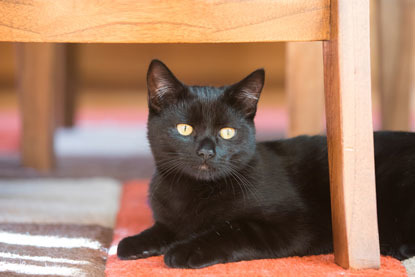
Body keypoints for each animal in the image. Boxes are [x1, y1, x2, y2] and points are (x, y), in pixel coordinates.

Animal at [117, 59, 415, 266]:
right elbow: (164, 227)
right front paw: (136, 242)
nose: (206, 152)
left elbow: (233, 230)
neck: (195, 191)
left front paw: (185, 250)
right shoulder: (169, 217)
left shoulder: (294, 226)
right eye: (185, 129)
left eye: (227, 132)